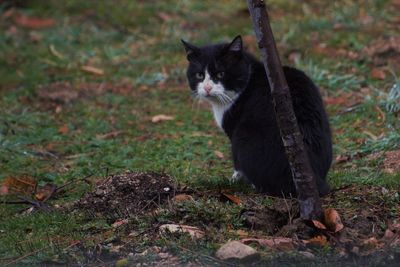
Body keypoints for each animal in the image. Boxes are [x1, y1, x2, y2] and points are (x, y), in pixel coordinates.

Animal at [181, 35, 332, 197]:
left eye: (220, 74)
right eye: (199, 75)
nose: (207, 88)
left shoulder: (233, 129)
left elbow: (236, 161)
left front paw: (235, 178)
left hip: (243, 134)